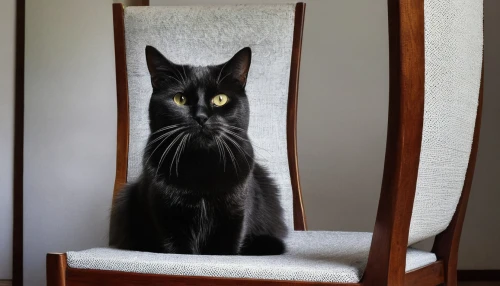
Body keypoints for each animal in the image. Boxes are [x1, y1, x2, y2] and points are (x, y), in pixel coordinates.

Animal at [111, 45, 288, 256]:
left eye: (220, 99)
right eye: (180, 99)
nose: (201, 117)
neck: (201, 165)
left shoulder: (235, 213)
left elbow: (225, 249)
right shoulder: (167, 216)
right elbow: (178, 250)